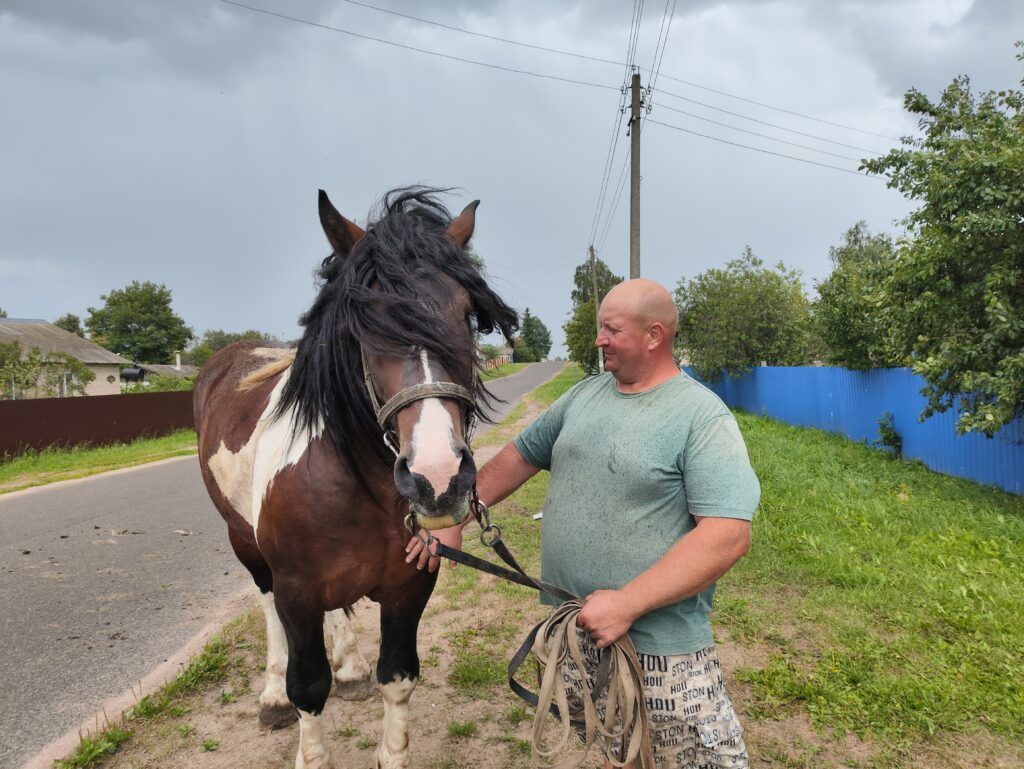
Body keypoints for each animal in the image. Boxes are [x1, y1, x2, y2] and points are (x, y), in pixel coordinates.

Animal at [193, 187, 518, 769]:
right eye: (362, 323)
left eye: (466, 314)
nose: (438, 478)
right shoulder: (296, 592)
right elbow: (307, 687)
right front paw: (303, 731)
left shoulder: (411, 584)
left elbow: (398, 676)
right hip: (243, 542)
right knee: (265, 605)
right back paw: (271, 697)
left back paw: (349, 668)